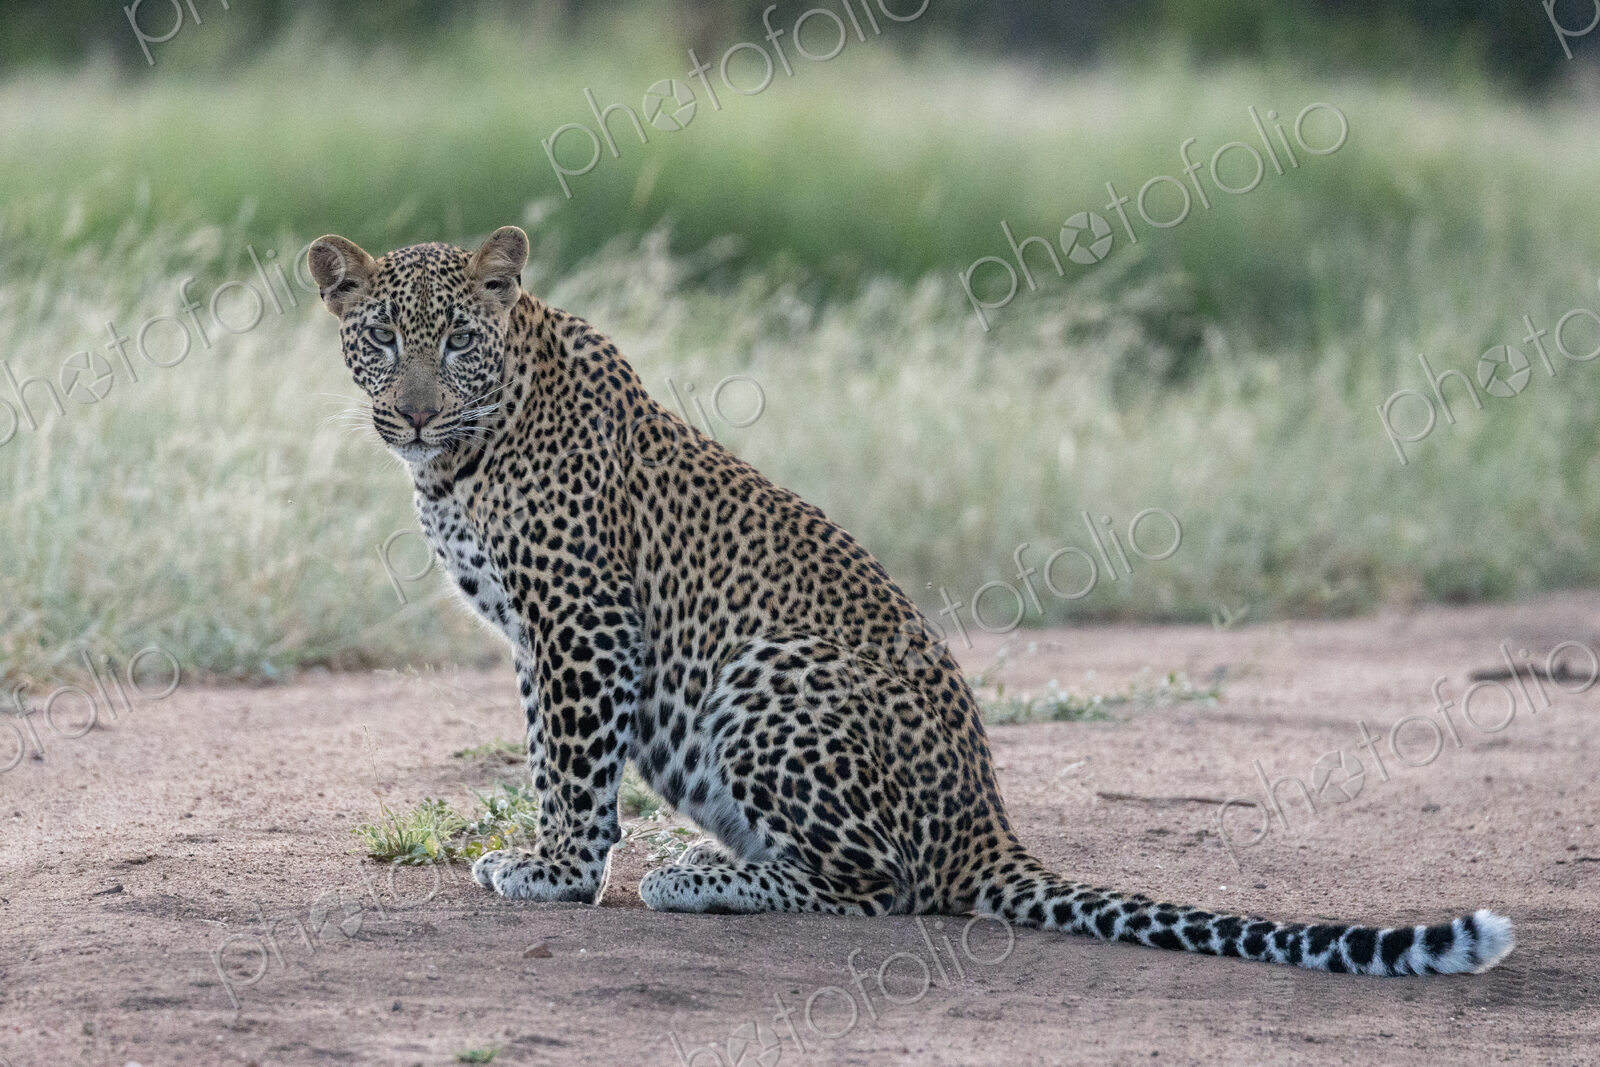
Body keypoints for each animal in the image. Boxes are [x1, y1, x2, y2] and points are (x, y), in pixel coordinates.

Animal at [309, 226, 1514, 976]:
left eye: (457, 340)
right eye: (383, 339)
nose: (414, 413)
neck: (465, 451)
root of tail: (989, 821)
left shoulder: (580, 616)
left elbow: (567, 759)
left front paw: (555, 872)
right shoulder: (534, 634)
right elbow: (545, 747)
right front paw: (555, 858)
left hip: (770, 675)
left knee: (879, 881)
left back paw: (703, 877)